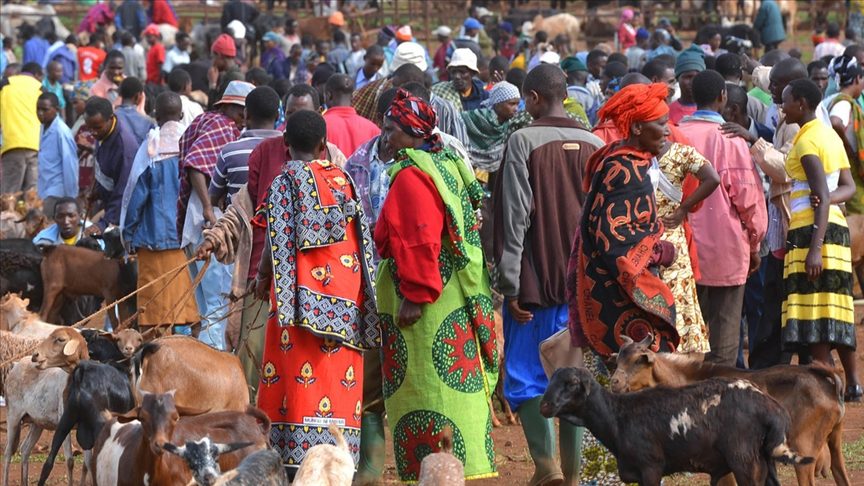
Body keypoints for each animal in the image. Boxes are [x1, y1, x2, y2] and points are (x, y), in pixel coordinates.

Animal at [544, 368, 812, 486]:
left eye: (572, 383)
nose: (545, 406)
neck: (618, 417)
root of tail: (771, 406)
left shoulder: (651, 468)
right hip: (766, 461)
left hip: (745, 462)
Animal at [616, 334, 852, 486]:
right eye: (618, 359)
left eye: (638, 360)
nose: (615, 382)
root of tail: (828, 381)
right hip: (835, 437)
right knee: (840, 472)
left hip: (804, 449)